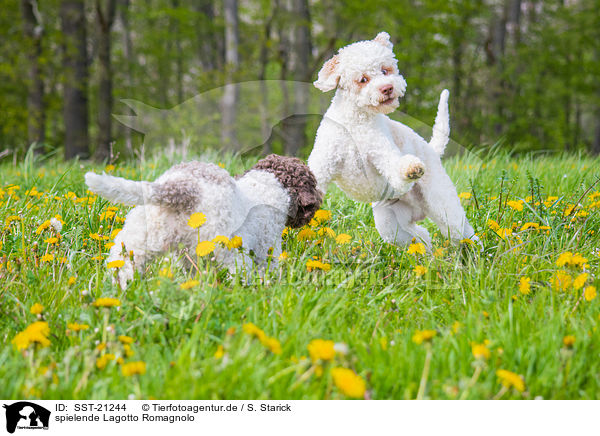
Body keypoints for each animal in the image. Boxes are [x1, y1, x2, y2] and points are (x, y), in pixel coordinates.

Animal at [310, 30, 478, 249]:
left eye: (385, 70)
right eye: (363, 79)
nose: (387, 88)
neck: (355, 122)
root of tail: (432, 149)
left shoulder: (381, 152)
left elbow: (394, 165)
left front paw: (411, 169)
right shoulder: (324, 162)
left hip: (444, 205)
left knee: (465, 233)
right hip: (391, 225)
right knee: (421, 236)